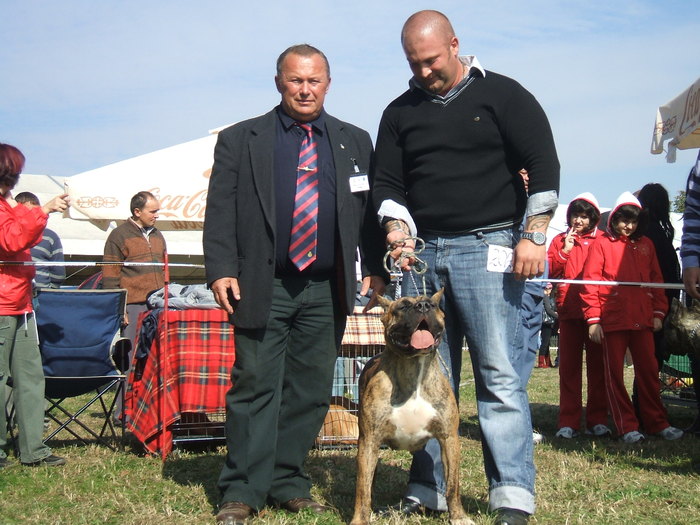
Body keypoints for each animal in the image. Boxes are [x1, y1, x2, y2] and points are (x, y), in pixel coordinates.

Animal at [348, 290, 474, 524]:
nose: (423, 306)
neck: (415, 369)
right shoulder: (369, 440)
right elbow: (362, 488)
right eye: (403, 306)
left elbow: (453, 485)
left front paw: (459, 516)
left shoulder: (449, 439)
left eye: (433, 304)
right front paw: (360, 519)